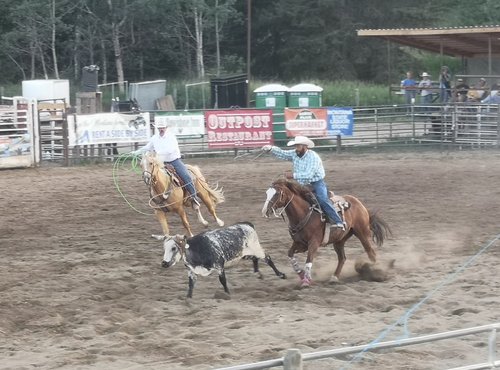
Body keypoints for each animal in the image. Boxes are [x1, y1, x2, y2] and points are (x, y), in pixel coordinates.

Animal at [152, 223, 286, 298]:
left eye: (174, 248)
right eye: (164, 248)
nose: (164, 263)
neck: (198, 249)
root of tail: (247, 225)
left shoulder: (219, 266)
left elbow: (223, 281)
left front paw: (227, 294)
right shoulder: (191, 271)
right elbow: (190, 285)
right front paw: (188, 299)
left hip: (256, 248)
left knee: (267, 258)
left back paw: (280, 275)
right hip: (244, 254)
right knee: (255, 259)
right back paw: (257, 273)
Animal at [262, 178, 390, 288]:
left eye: (277, 193)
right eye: (267, 193)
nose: (264, 211)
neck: (304, 214)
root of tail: (359, 204)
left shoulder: (314, 243)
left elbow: (309, 261)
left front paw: (306, 281)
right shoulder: (300, 244)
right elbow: (290, 255)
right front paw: (301, 275)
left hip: (362, 234)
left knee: (371, 253)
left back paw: (376, 271)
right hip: (339, 240)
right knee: (342, 258)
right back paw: (334, 277)